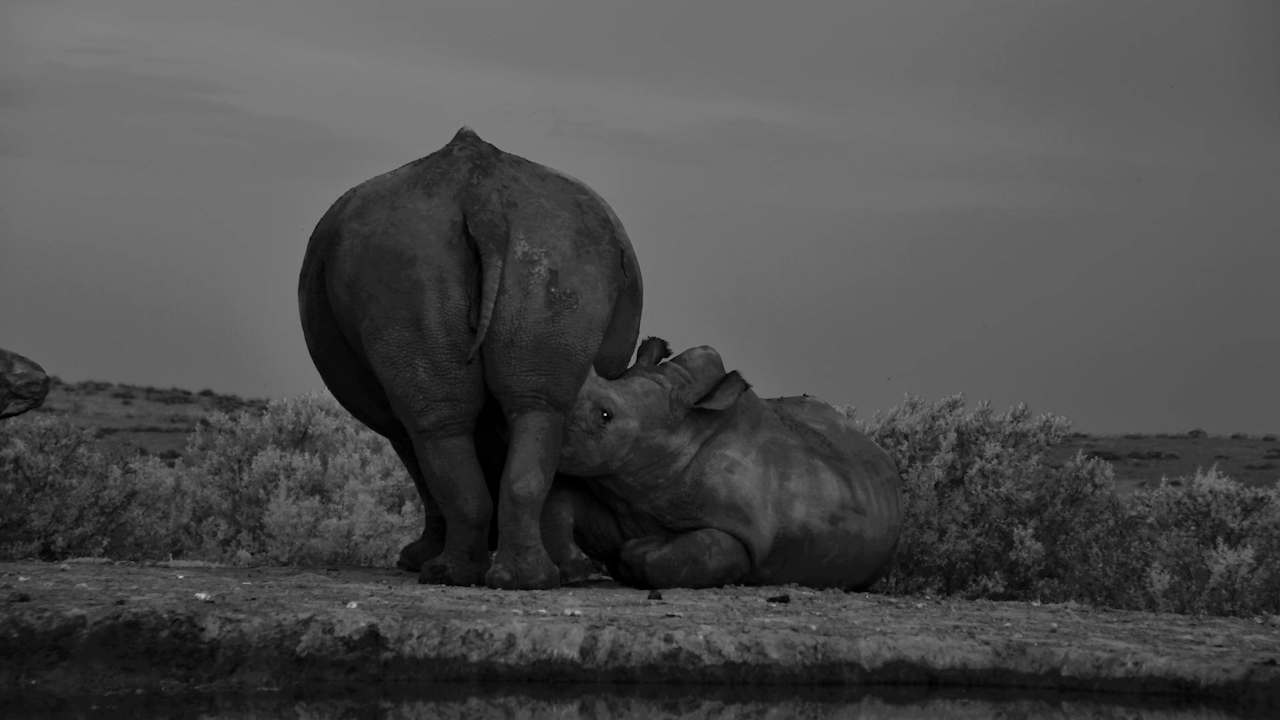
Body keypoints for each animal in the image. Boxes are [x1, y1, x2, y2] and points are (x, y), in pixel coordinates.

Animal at [299, 127, 642, 589]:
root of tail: (482, 196)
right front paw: (569, 571)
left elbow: (422, 470)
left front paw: (413, 560)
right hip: (552, 249)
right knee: (535, 409)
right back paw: (521, 580)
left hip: (412, 260)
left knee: (452, 422)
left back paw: (450, 573)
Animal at [541, 338, 903, 590]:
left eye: (605, 415)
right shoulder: (617, 494)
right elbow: (560, 503)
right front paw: (574, 570)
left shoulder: (744, 534)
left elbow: (680, 558)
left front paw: (634, 552)